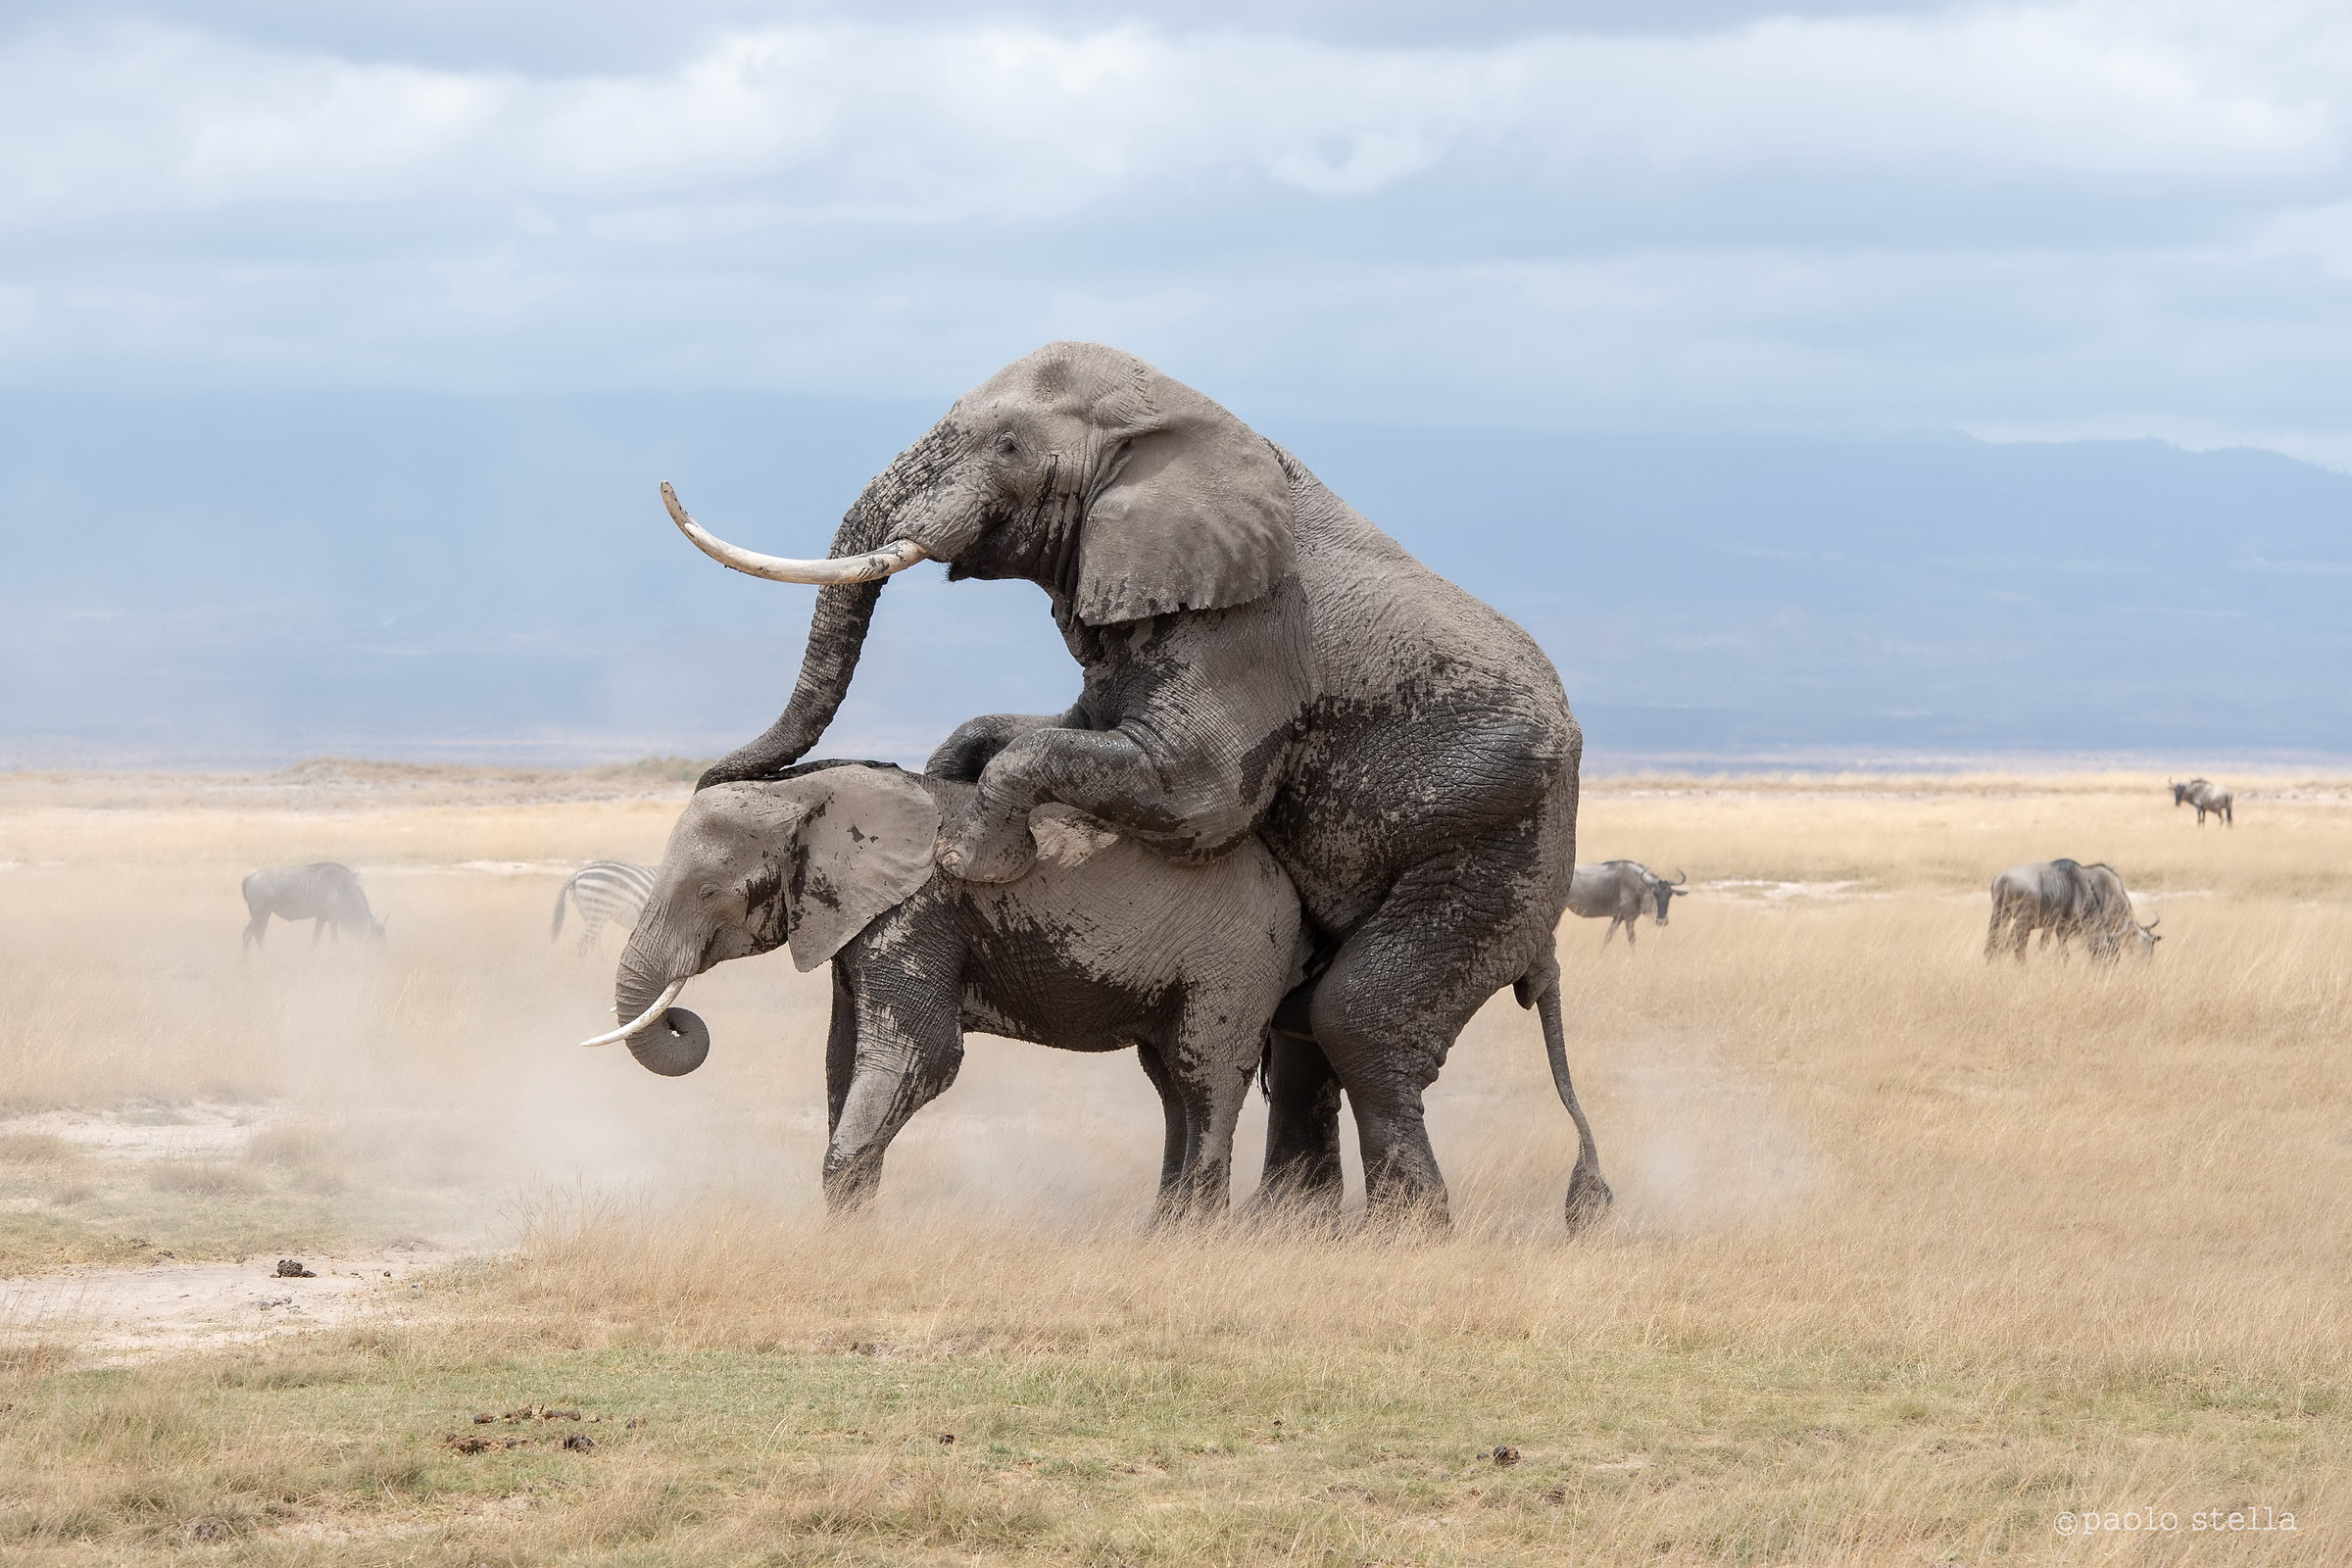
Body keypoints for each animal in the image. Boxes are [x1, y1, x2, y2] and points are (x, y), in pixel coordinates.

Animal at [583, 760, 1303, 1217]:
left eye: (711, 893)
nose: (681, 1018)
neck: (814, 793)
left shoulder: (918, 909)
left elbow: (921, 1054)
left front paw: (847, 1241)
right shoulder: (858, 919)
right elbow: (843, 1057)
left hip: (1239, 958)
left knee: (1204, 1074)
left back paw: (1193, 1237)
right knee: (1168, 1081)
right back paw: (1160, 1234)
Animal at [661, 341, 1608, 1229]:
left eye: (1008, 444)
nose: (741, 775)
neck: (1174, 414)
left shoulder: (1246, 629)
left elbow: (1197, 794)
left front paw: (974, 859)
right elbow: (1039, 728)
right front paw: (949, 779)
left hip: (1500, 836)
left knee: (1358, 1016)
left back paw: (1399, 1237)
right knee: (1304, 1025)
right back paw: (1289, 1230)